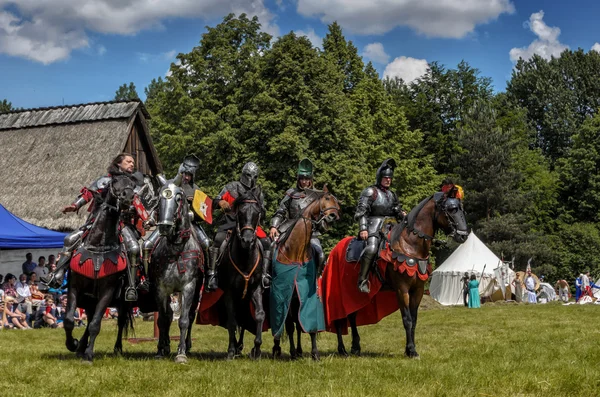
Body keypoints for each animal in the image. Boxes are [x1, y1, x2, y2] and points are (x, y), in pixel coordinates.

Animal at [63, 173, 138, 362]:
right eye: (115, 182)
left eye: (132, 185)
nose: (127, 197)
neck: (98, 247)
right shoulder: (75, 288)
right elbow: (69, 320)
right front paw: (72, 344)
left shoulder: (107, 291)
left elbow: (96, 324)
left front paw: (89, 354)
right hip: (90, 299)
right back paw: (80, 347)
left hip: (121, 302)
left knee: (119, 322)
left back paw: (116, 348)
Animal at [270, 186, 340, 358]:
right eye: (327, 198)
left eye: (337, 202)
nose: (333, 216)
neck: (296, 251)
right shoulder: (285, 294)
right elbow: (288, 325)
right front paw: (291, 351)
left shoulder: (305, 293)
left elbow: (308, 324)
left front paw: (315, 353)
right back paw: (279, 348)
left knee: (298, 325)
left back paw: (300, 350)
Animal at [324, 184, 468, 358]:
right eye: (452, 209)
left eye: (461, 209)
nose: (463, 235)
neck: (410, 244)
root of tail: (334, 251)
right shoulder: (402, 289)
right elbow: (407, 319)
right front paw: (411, 350)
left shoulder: (418, 289)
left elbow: (414, 319)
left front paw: (410, 349)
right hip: (341, 292)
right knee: (340, 318)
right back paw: (342, 349)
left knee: (352, 316)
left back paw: (355, 347)